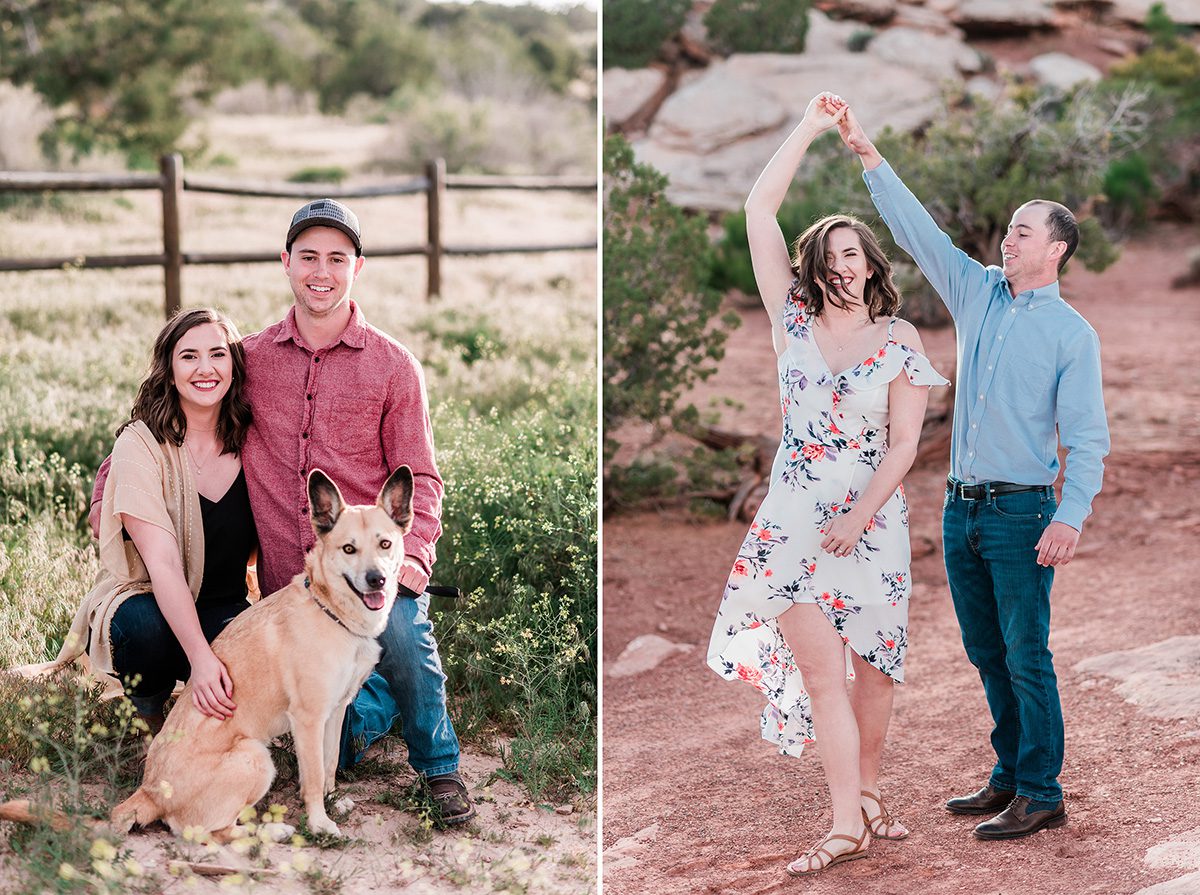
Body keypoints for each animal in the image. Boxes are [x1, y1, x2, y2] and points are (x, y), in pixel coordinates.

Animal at [110, 463, 415, 839]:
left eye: (385, 544)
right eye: (348, 549)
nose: (377, 580)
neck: (330, 609)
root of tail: (149, 791)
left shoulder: (335, 711)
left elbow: (329, 764)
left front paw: (332, 802)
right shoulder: (308, 718)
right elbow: (313, 777)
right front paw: (319, 822)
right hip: (254, 756)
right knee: (213, 833)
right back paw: (276, 832)